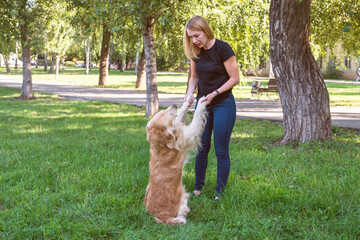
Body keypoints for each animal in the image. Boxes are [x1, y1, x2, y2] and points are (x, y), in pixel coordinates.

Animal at [144, 96, 207, 225]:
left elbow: (181, 112)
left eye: (163, 111)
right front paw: (201, 102)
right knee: (182, 215)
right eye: (169, 114)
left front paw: (187, 101)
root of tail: (161, 218)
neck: (160, 144)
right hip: (182, 201)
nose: (173, 105)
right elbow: (196, 116)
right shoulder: (189, 135)